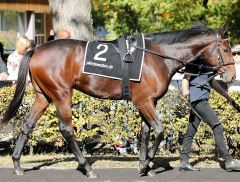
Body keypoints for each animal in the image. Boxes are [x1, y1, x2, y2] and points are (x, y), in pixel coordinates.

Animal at [0, 23, 235, 178]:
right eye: (225, 49)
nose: (231, 76)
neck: (157, 56)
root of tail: (36, 49)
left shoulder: (148, 101)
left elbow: (146, 132)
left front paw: (145, 166)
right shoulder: (144, 101)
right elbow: (159, 130)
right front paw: (145, 165)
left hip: (44, 95)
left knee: (27, 124)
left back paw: (17, 164)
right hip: (61, 94)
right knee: (66, 129)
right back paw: (88, 168)